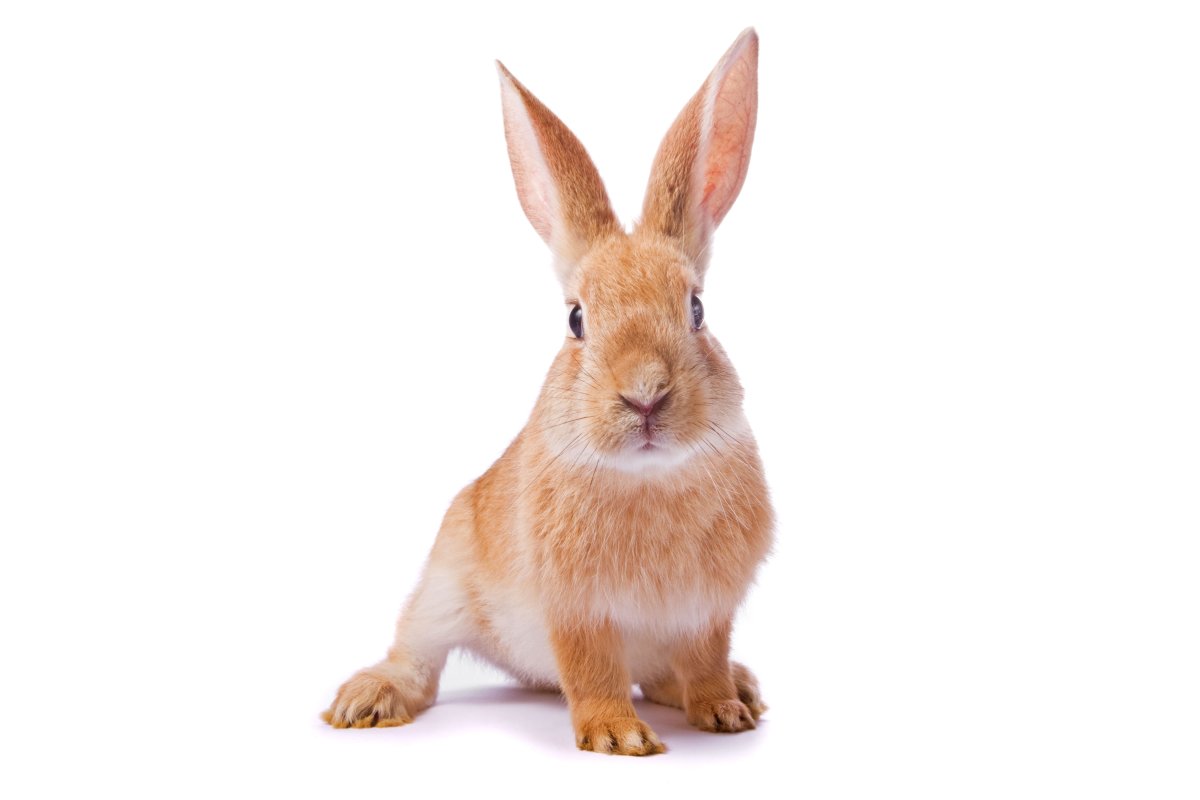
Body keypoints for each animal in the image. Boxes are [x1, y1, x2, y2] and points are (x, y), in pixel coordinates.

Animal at [322, 28, 773, 756]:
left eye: (698, 309)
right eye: (576, 319)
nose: (645, 395)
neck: (648, 478)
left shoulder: (707, 612)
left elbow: (705, 661)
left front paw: (722, 713)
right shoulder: (576, 611)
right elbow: (590, 671)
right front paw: (618, 737)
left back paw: (742, 688)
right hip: (442, 587)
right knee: (417, 658)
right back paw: (367, 699)